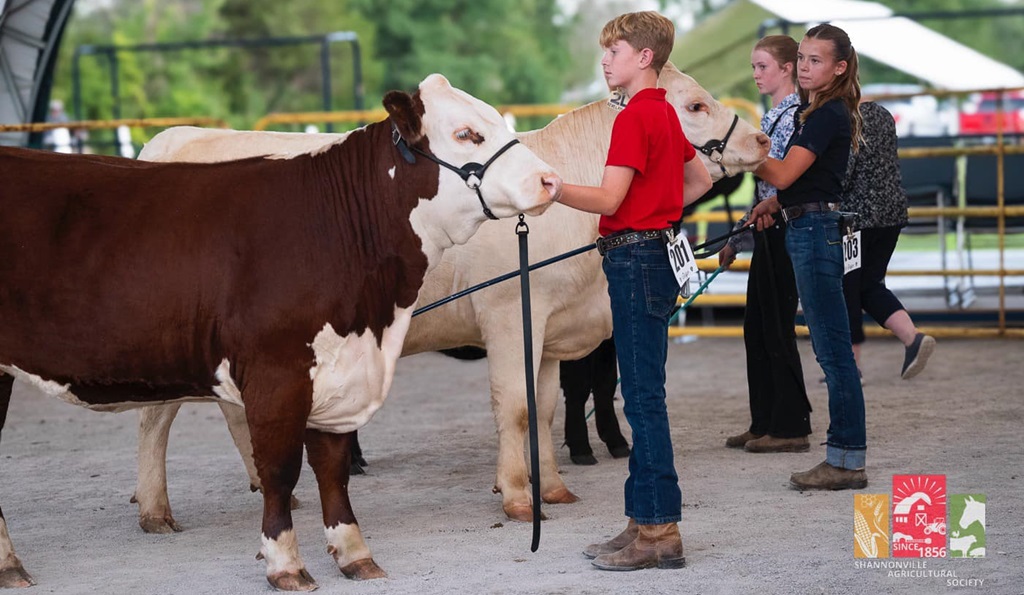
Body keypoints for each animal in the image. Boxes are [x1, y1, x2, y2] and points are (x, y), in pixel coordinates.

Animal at [0, 74, 561, 591]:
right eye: (466, 133)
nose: (550, 180)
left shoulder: (337, 370)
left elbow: (332, 467)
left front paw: (355, 554)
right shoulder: (277, 373)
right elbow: (280, 468)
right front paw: (285, 563)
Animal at [130, 62, 770, 526]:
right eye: (694, 105)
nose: (763, 138)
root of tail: (170, 140)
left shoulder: (550, 325)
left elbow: (544, 404)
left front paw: (553, 487)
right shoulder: (510, 313)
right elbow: (515, 406)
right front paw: (517, 497)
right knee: (154, 420)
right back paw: (156, 510)